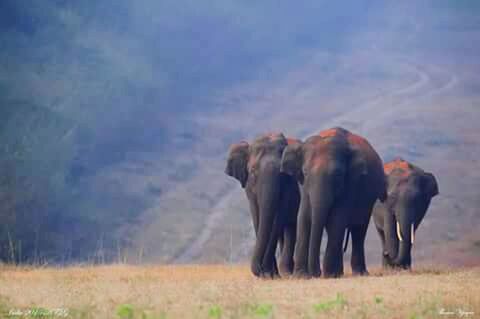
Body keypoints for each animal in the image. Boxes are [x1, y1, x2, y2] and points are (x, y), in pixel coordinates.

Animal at [226, 132, 300, 278]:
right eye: (253, 171)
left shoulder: (290, 187)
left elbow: (276, 220)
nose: (260, 271)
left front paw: (268, 274)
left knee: (290, 228)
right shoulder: (249, 188)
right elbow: (257, 217)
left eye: (282, 173)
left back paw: (286, 272)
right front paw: (268, 275)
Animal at [282, 127, 386, 278]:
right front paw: (301, 276)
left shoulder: (351, 183)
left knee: (358, 230)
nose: (316, 273)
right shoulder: (304, 186)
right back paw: (340, 273)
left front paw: (329, 275)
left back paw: (358, 273)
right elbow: (303, 218)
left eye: (338, 174)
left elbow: (337, 219)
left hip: (369, 199)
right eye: (305, 172)